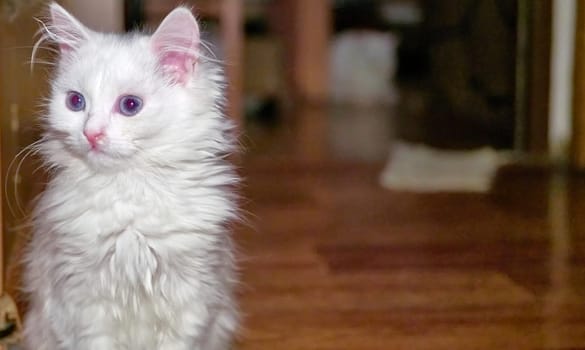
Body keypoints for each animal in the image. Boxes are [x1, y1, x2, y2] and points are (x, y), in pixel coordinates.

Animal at [22, 3, 237, 350]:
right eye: (75, 102)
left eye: (130, 105)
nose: (91, 133)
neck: (128, 190)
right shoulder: (83, 300)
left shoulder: (192, 294)